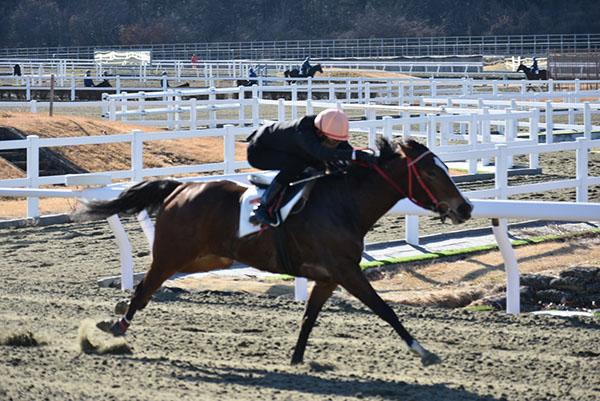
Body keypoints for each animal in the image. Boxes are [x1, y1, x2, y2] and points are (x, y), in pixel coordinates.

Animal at [76, 138, 473, 367]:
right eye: (431, 172)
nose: (465, 208)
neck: (344, 203)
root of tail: (180, 187)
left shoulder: (328, 278)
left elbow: (309, 318)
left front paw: (296, 360)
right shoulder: (347, 271)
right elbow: (385, 309)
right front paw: (422, 351)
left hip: (206, 257)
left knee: (149, 287)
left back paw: (116, 315)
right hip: (172, 255)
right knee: (145, 288)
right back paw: (115, 327)